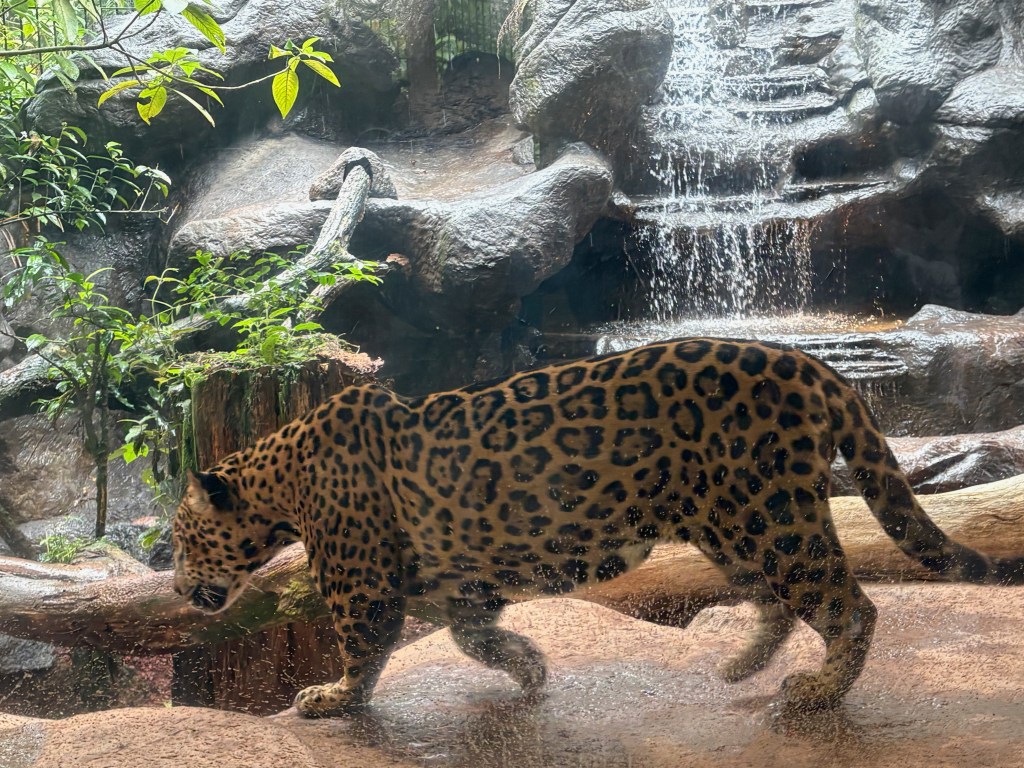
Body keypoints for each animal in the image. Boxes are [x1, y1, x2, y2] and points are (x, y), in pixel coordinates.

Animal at [172, 337, 1024, 717]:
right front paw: (528, 668)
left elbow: (366, 647)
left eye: (181, 541)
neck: (276, 478)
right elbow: (470, 634)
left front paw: (331, 698)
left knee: (849, 605)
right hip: (732, 522)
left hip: (770, 512)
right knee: (775, 601)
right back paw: (740, 666)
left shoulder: (361, 582)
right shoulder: (461, 580)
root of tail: (815, 366)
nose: (179, 588)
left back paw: (816, 691)